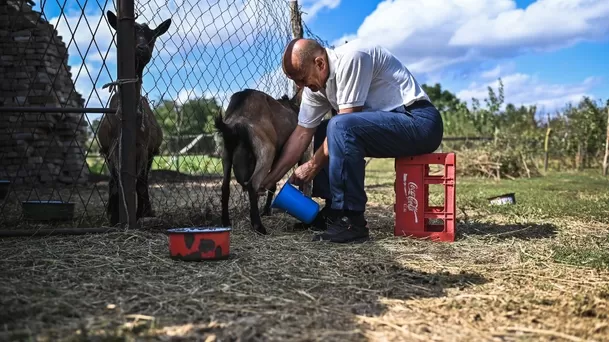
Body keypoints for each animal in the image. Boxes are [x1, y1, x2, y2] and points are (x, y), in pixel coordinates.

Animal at [97, 10, 170, 226]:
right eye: (128, 33)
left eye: (153, 37)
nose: (142, 49)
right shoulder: (110, 149)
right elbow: (114, 181)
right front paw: (113, 217)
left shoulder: (143, 148)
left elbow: (138, 181)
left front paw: (137, 215)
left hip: (152, 152)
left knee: (144, 179)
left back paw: (146, 210)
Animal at [216, 87, 306, 235]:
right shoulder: (296, 153)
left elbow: (272, 185)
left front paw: (266, 210)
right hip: (266, 151)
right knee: (253, 184)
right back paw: (258, 226)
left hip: (226, 155)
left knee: (225, 186)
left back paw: (225, 222)